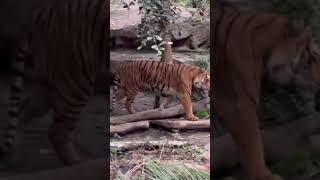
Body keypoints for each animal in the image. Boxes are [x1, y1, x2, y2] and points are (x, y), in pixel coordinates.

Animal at [0, 0, 107, 166]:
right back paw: (76, 164)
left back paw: (10, 156)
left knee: (23, 112)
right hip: (76, 83)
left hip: (51, 84)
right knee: (57, 132)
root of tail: (41, 13)